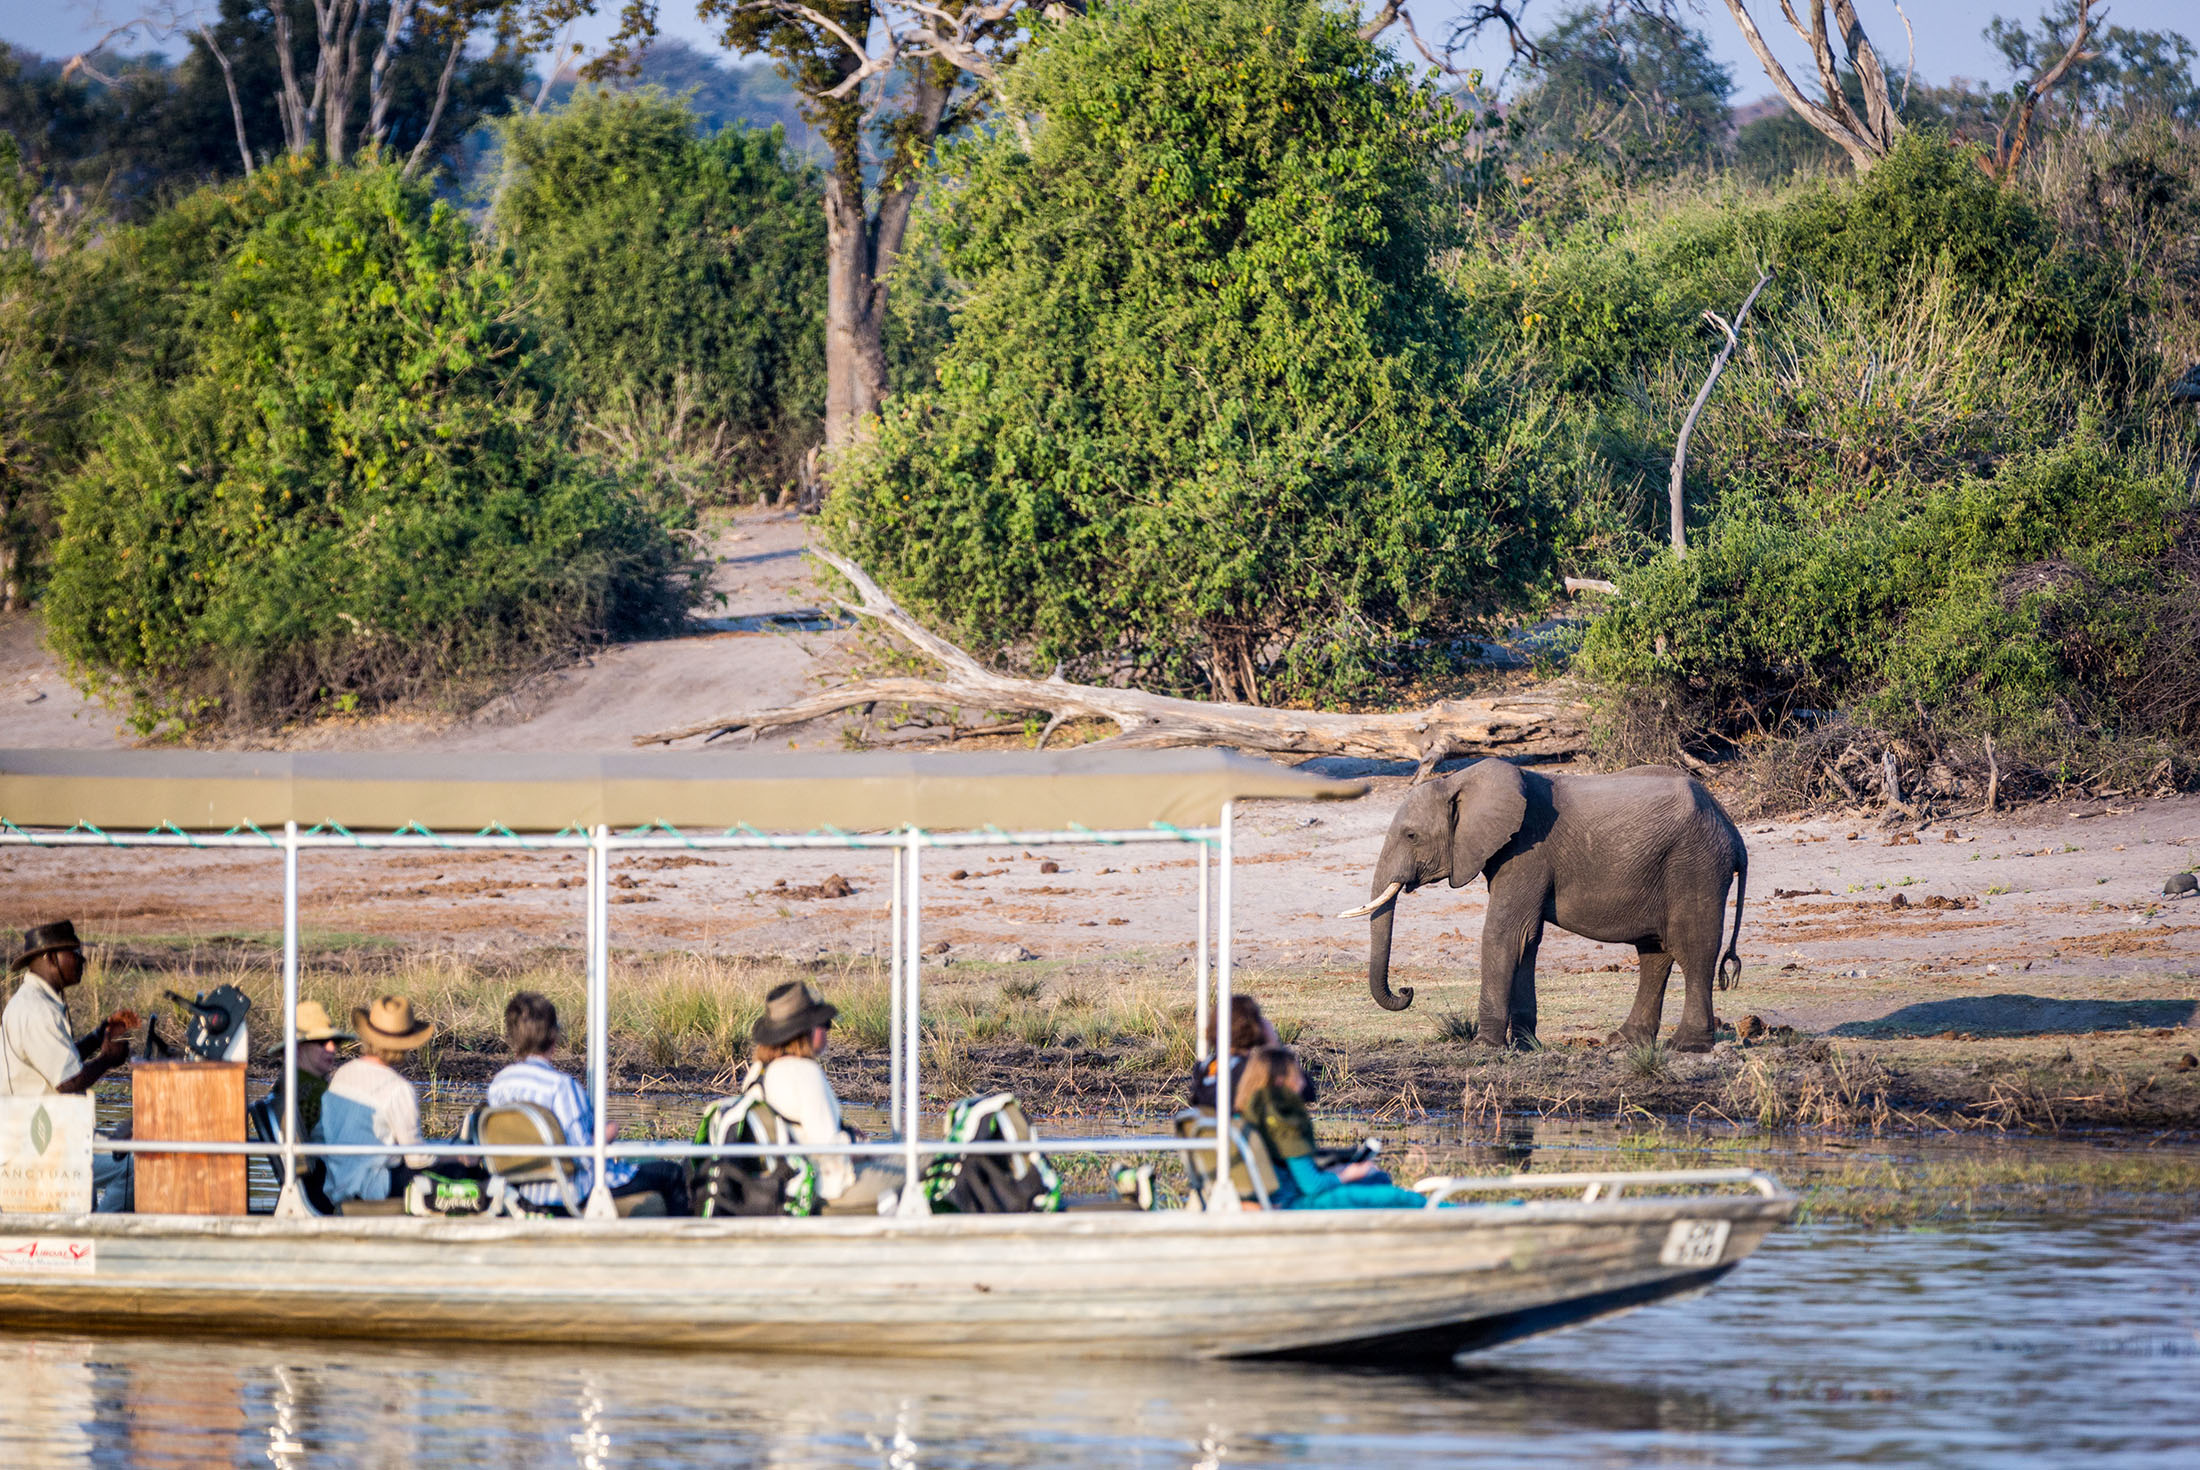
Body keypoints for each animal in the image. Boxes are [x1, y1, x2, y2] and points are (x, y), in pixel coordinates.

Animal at [1337, 765, 1751, 1051]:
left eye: (1411, 835)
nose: (1407, 990)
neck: (1459, 781)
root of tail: (1732, 829)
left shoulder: (1527, 851)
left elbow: (1504, 934)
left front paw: (1484, 1047)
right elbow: (1526, 940)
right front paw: (1525, 1046)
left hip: (1695, 864)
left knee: (1692, 947)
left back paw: (1687, 1046)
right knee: (1655, 953)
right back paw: (1623, 1042)